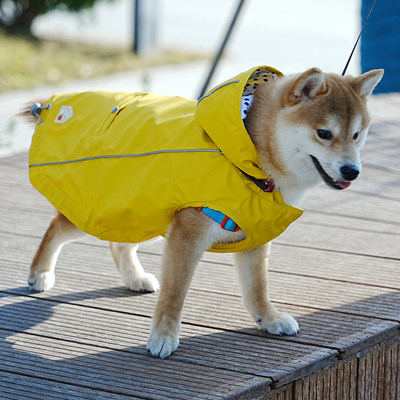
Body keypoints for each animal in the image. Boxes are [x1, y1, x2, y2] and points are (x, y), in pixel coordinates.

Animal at [25, 66, 384, 360]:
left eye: (357, 134)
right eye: (324, 133)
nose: (352, 171)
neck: (252, 161)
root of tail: (52, 105)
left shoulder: (254, 235)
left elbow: (257, 288)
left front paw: (268, 319)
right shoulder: (188, 234)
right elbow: (175, 293)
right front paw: (163, 337)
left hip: (146, 216)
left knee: (118, 244)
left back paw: (134, 278)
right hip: (114, 212)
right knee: (56, 227)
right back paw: (40, 273)